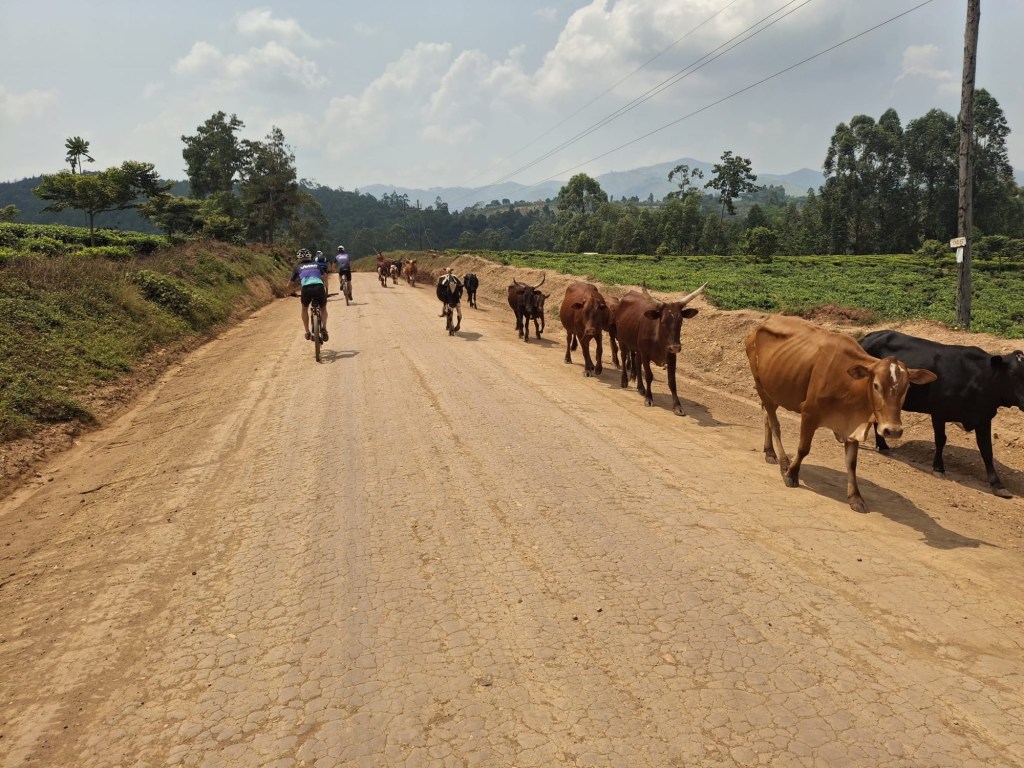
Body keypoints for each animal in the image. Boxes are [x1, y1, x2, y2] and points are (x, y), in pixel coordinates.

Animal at [614, 283, 706, 415]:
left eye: (681, 321)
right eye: (662, 321)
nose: (675, 347)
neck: (659, 339)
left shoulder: (671, 356)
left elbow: (672, 381)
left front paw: (678, 406)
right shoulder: (645, 354)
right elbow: (649, 376)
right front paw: (649, 399)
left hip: (638, 349)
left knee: (637, 362)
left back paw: (641, 388)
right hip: (622, 340)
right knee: (623, 355)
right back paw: (624, 381)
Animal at [745, 315, 937, 513]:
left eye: (907, 387)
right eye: (876, 385)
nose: (893, 431)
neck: (849, 383)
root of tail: (764, 322)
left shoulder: (853, 424)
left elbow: (851, 463)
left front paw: (856, 497)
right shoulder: (809, 413)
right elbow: (803, 448)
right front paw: (791, 474)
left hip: (772, 391)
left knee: (767, 417)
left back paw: (770, 452)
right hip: (760, 385)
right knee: (775, 424)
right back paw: (783, 461)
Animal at [860, 329, 1024, 498]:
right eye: (1012, 373)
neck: (977, 379)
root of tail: (870, 335)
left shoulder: (983, 418)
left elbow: (986, 450)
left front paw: (997, 484)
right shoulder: (938, 413)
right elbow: (940, 440)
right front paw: (938, 468)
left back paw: (882, 445)